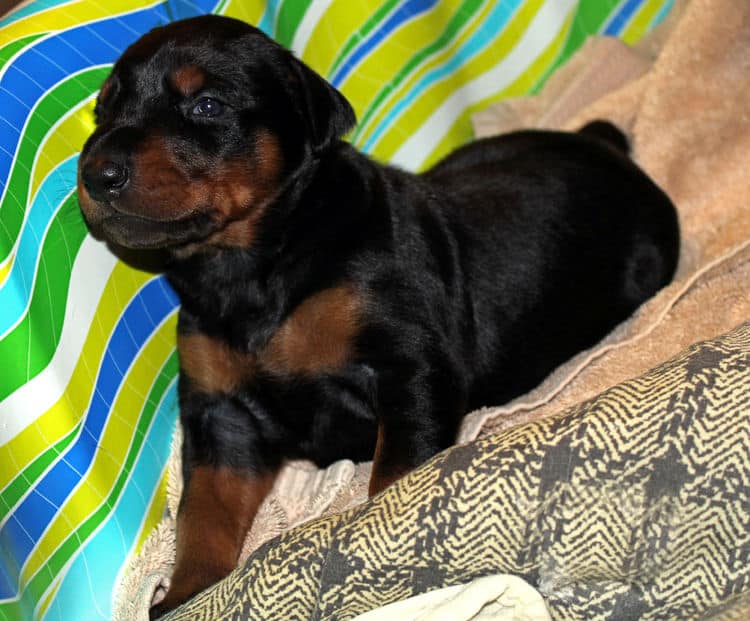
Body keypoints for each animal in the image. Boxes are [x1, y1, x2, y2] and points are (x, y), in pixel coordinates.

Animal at [78, 14, 680, 616]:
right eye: (103, 112)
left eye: (206, 105)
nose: (96, 172)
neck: (249, 267)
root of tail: (606, 148)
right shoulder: (222, 415)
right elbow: (204, 513)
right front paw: (185, 597)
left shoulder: (408, 370)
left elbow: (397, 479)